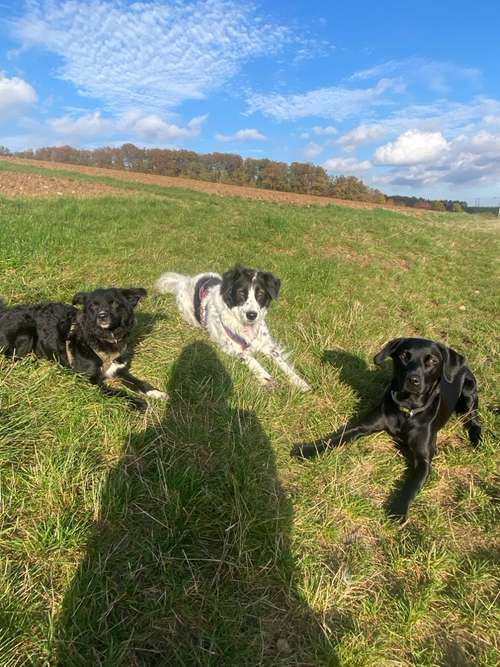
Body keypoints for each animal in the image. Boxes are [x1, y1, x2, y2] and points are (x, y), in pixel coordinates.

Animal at [0, 288, 168, 410]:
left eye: (114, 304)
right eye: (93, 305)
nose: (102, 316)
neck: (103, 338)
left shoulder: (118, 369)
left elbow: (139, 382)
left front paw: (156, 392)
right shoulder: (89, 379)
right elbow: (116, 392)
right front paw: (136, 402)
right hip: (26, 332)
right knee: (13, 358)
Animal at [154, 266, 310, 392]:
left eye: (260, 294)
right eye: (241, 292)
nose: (252, 315)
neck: (247, 328)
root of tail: (186, 280)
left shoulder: (267, 345)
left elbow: (283, 364)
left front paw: (299, 381)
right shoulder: (233, 348)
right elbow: (251, 359)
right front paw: (266, 377)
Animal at [292, 340, 480, 520]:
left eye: (433, 361)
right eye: (404, 355)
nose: (413, 380)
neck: (407, 410)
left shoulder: (424, 460)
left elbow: (412, 485)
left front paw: (399, 509)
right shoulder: (362, 426)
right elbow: (337, 438)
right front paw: (308, 450)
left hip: (469, 394)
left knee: (474, 420)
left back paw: (477, 439)